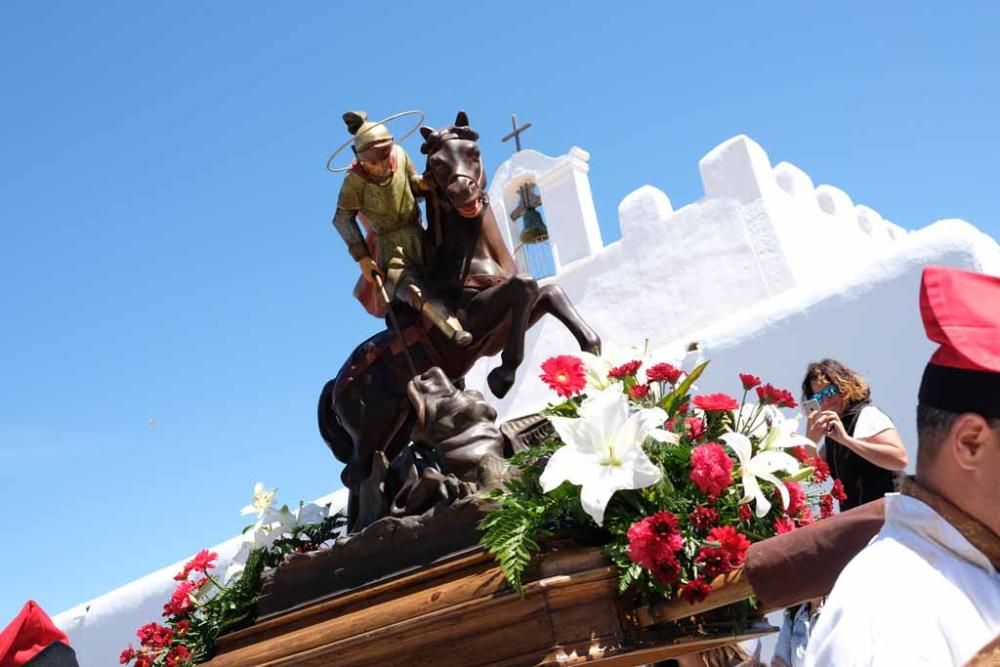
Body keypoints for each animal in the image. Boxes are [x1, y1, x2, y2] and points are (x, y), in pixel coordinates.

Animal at [320, 111, 600, 532]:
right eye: (436, 163)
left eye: (473, 152)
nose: (465, 193)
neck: (470, 264)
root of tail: (337, 383)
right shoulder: (475, 322)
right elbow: (525, 286)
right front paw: (501, 377)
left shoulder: (501, 325)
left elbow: (547, 291)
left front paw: (591, 343)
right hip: (374, 423)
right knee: (353, 473)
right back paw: (368, 525)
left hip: (397, 422)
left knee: (368, 468)